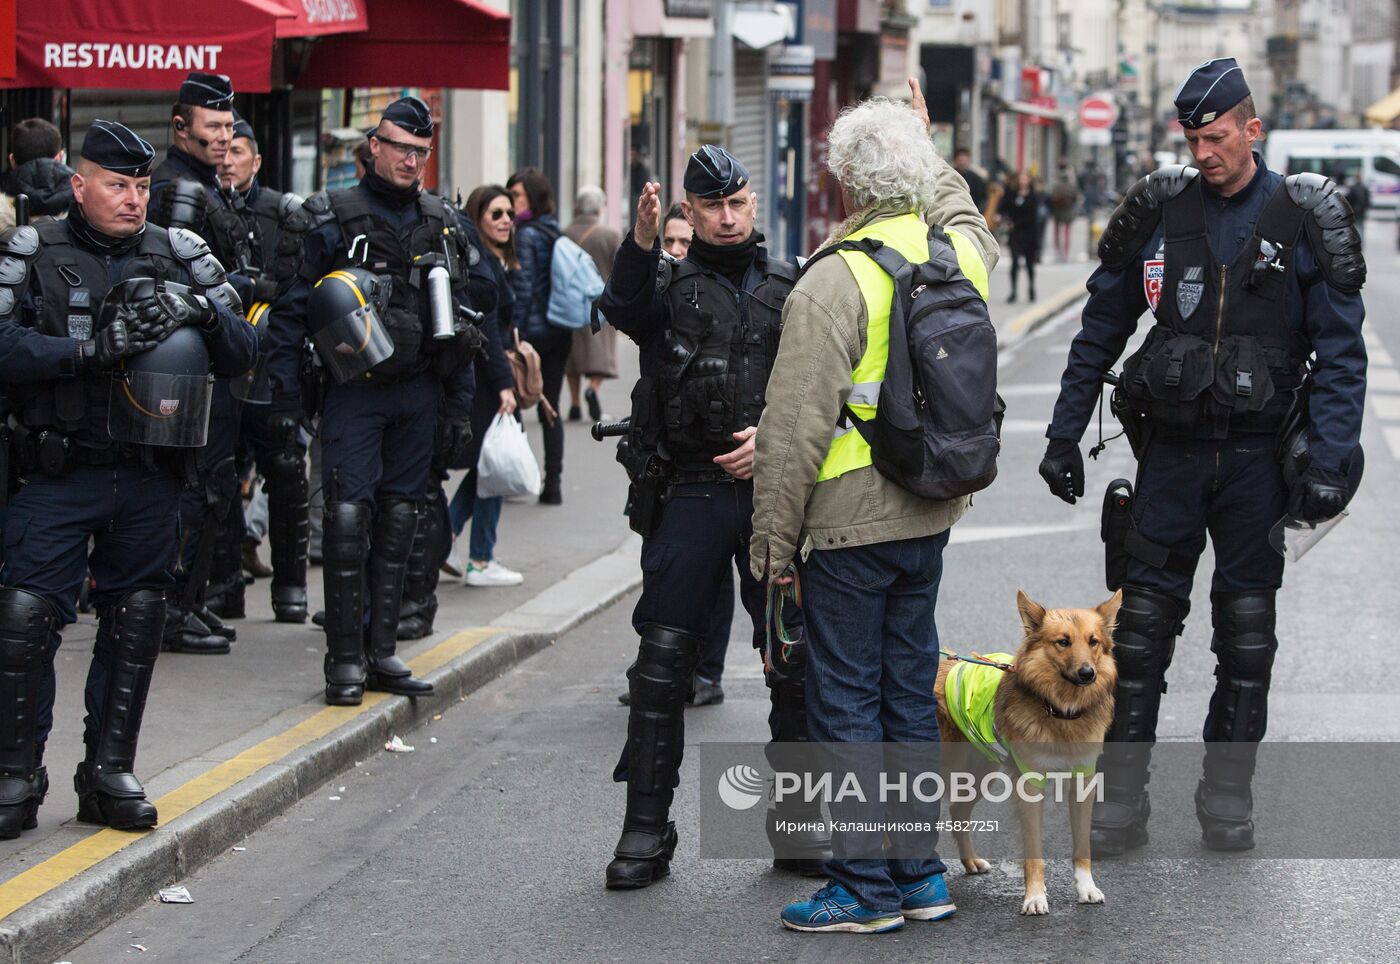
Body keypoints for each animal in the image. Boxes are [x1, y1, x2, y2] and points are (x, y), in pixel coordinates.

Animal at [935, 590, 1120, 912]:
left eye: (1093, 641)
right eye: (1063, 641)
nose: (1088, 674)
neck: (1060, 710)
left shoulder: (1082, 782)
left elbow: (1082, 846)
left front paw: (1086, 888)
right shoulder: (1030, 785)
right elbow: (1034, 851)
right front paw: (1035, 896)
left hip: (980, 770)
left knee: (958, 809)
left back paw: (970, 862)